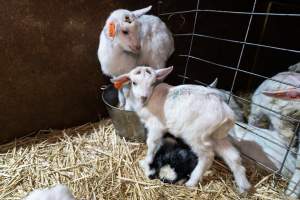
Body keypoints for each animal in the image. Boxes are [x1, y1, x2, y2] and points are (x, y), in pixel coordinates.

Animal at [111, 65, 252, 192]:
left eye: (152, 83)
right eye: (134, 82)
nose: (143, 97)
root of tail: (226, 113)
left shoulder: (156, 126)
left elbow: (151, 144)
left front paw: (147, 162)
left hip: (196, 135)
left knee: (207, 156)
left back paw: (192, 181)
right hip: (216, 135)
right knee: (233, 156)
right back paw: (243, 186)